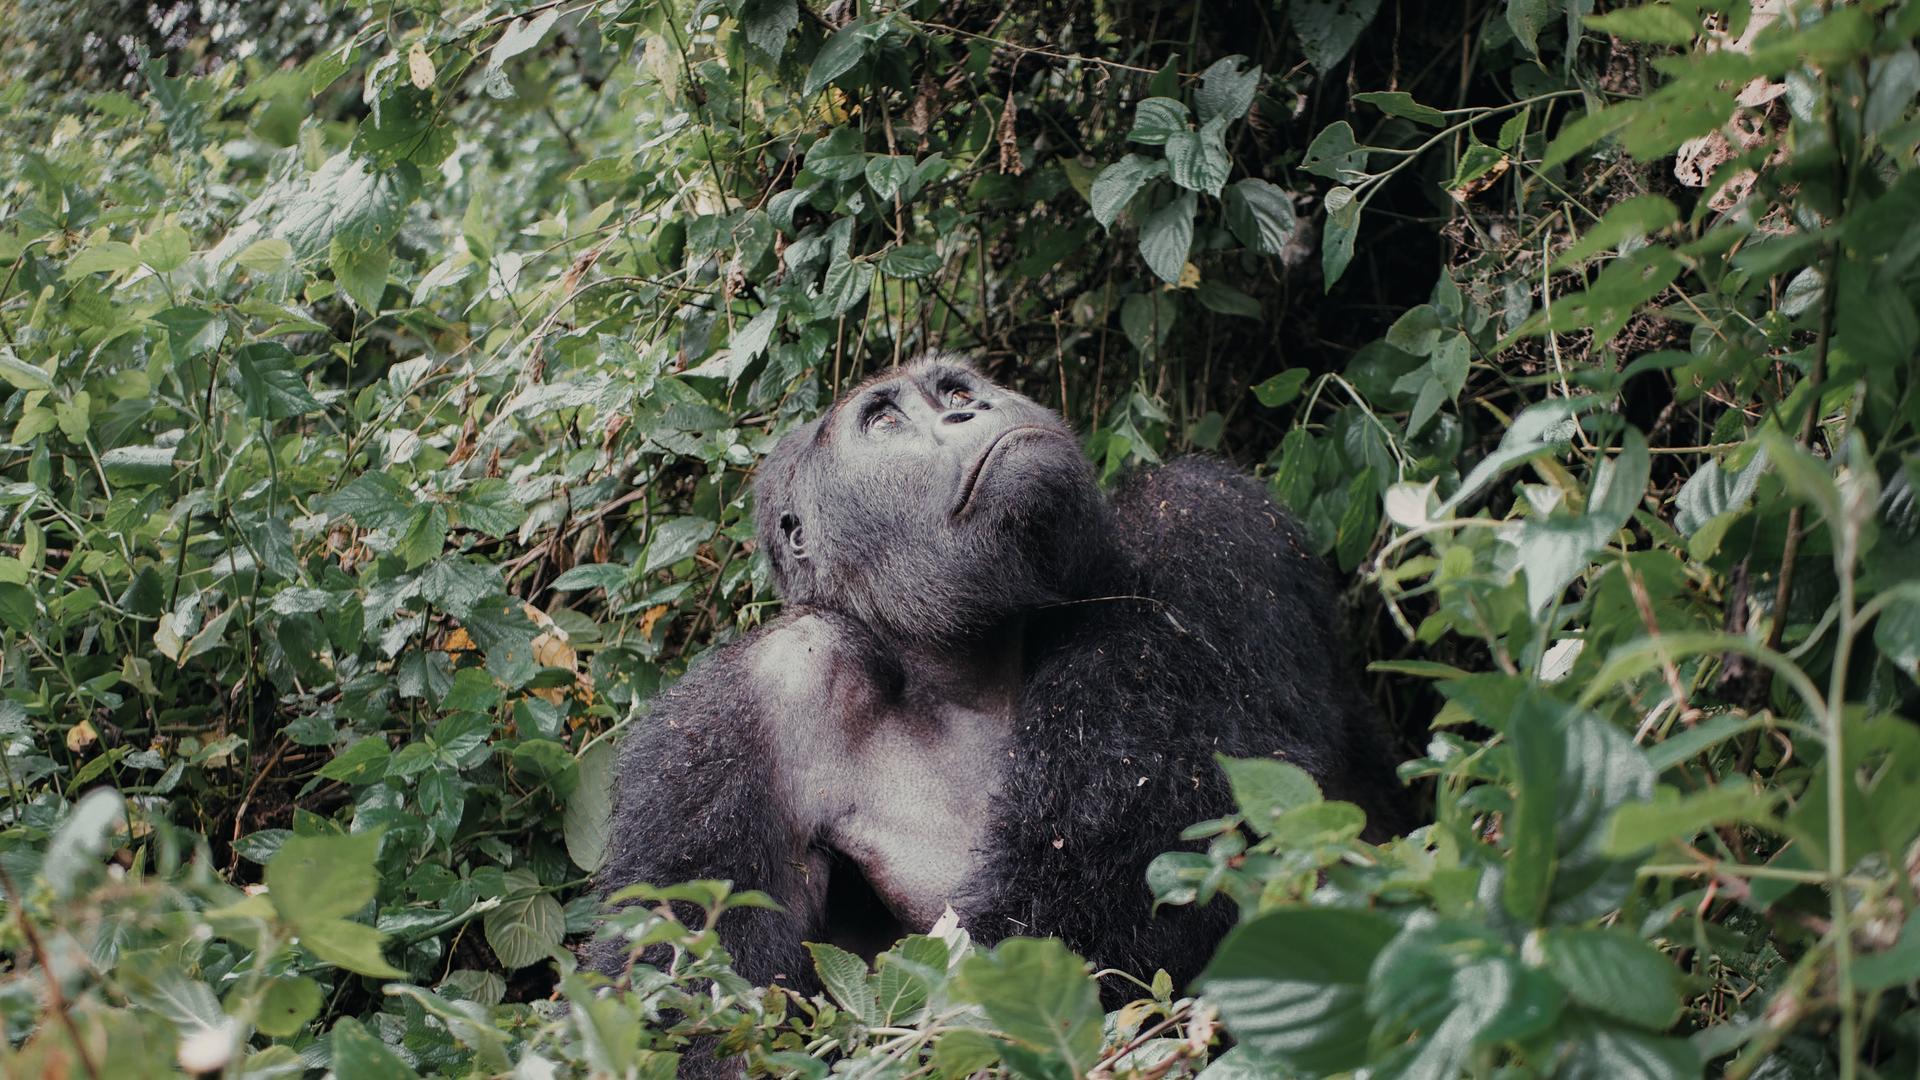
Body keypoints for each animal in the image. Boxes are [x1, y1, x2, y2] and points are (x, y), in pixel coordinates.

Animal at [583, 355, 1413, 1053]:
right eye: (885, 421)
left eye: (953, 388)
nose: (969, 408)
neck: (956, 670)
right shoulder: (751, 699)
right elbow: (699, 992)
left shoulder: (1201, 517)